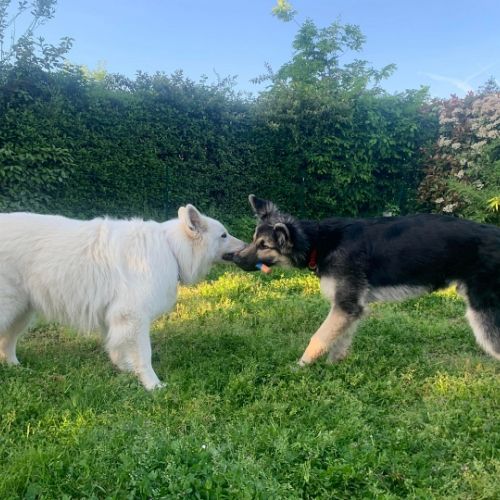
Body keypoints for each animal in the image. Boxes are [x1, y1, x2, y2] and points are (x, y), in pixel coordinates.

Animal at [0, 205, 244, 389]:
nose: (246, 245)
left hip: (21, 312)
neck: (170, 247)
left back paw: (16, 367)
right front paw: (153, 385)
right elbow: (144, 355)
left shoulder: (115, 317)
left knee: (7, 343)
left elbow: (117, 348)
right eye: (223, 235)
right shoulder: (133, 317)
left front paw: (126, 370)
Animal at [232, 195, 500, 366]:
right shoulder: (350, 309)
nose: (233, 258)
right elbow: (339, 340)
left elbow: (318, 337)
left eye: (263, 245)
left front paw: (300, 367)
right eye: (254, 240)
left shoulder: (346, 306)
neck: (319, 242)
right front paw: (333, 366)